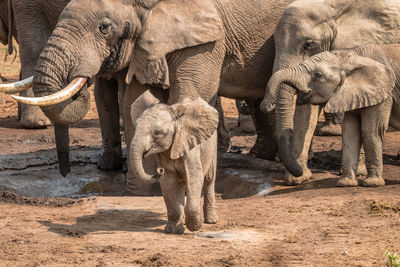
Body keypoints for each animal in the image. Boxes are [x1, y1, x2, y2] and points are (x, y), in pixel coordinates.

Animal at [13, 0, 294, 191]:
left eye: (104, 27)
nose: (64, 174)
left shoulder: (206, 38)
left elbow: (187, 97)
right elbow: (135, 102)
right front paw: (142, 191)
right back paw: (261, 157)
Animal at [130, 92, 219, 234]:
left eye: (157, 133)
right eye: (135, 127)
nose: (159, 170)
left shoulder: (190, 145)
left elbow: (195, 176)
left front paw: (195, 227)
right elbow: (168, 182)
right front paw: (173, 230)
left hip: (212, 144)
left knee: (209, 179)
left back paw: (210, 221)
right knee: (181, 184)